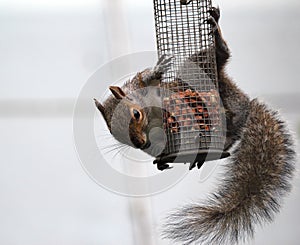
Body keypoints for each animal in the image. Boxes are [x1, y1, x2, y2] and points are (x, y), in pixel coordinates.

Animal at [94, 7, 296, 245]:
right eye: (114, 133)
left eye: (136, 114)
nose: (140, 143)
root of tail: (245, 103)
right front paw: (159, 159)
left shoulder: (146, 88)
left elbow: (147, 78)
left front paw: (157, 69)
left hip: (199, 70)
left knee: (220, 57)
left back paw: (217, 37)